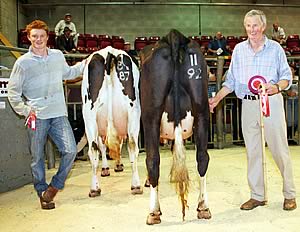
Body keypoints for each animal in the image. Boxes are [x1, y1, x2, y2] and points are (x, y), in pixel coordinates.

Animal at [81, 46, 142, 197]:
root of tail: (109, 52)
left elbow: (106, 146)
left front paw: (108, 167)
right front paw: (115, 165)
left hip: (89, 116)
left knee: (93, 148)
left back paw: (94, 188)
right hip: (132, 112)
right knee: (132, 145)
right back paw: (136, 185)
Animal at [140, 29, 211, 225]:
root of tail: (174, 35)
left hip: (151, 115)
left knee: (152, 160)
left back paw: (153, 213)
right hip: (202, 109)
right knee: (202, 157)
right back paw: (203, 207)